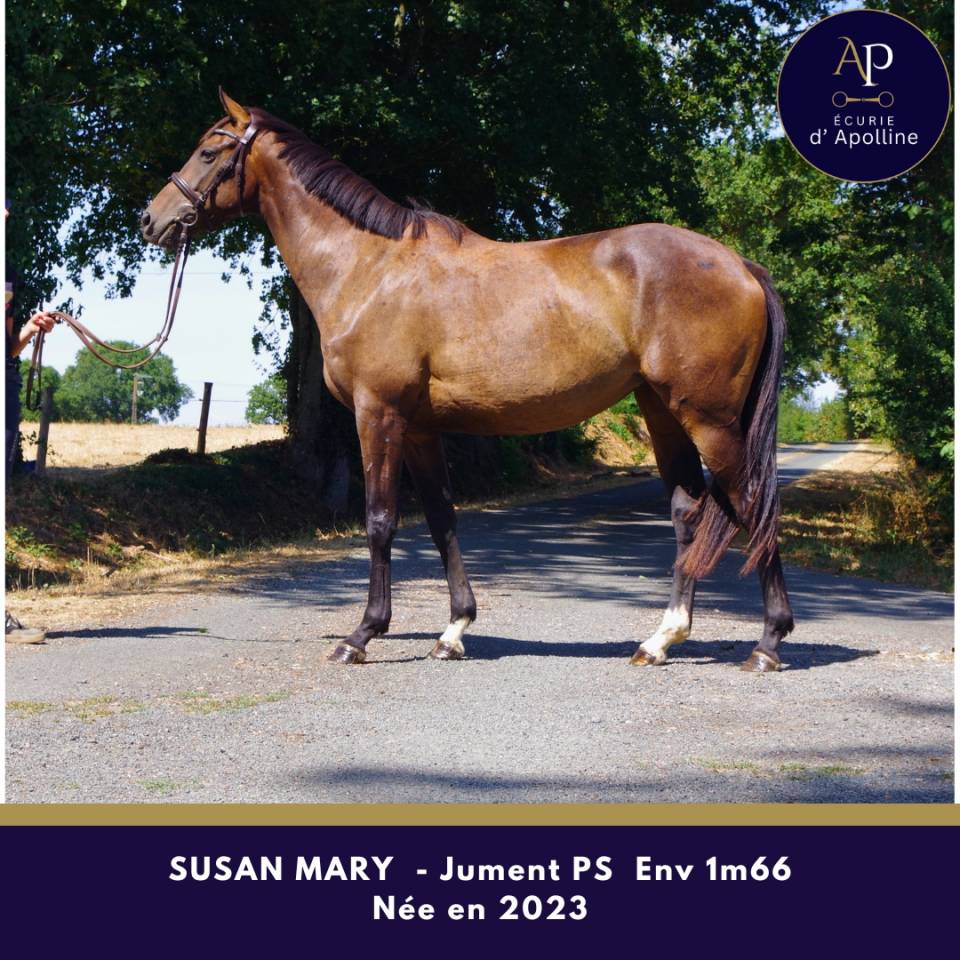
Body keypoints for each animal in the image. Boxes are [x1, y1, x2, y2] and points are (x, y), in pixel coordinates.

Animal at [141, 90, 794, 673]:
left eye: (208, 151)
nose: (152, 220)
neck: (368, 268)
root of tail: (741, 265)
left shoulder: (377, 415)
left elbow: (380, 520)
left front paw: (362, 635)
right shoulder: (420, 428)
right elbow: (441, 518)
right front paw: (454, 629)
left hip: (709, 419)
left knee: (754, 504)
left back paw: (767, 643)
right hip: (663, 412)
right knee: (689, 513)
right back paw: (660, 640)